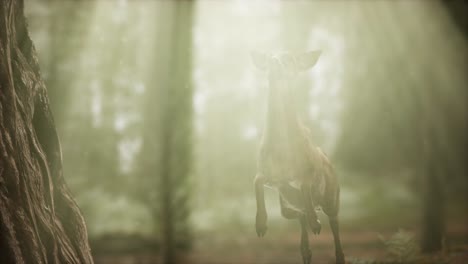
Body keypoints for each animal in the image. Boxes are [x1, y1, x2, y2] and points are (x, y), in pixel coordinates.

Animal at [250, 50, 346, 264]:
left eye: (290, 59)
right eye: (269, 55)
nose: (275, 61)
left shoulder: (311, 169)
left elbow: (305, 184)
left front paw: (316, 224)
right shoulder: (271, 175)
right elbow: (257, 181)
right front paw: (260, 225)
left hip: (332, 198)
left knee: (336, 233)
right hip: (288, 208)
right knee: (301, 234)